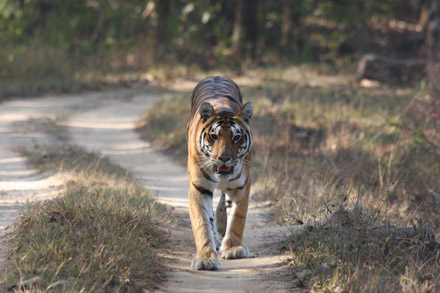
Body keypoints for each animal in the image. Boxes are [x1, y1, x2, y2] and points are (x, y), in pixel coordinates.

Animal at [186, 74, 254, 270]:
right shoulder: (199, 187)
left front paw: (233, 248)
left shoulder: (242, 185)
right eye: (214, 136)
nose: (224, 158)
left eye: (237, 137)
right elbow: (202, 223)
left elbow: (238, 217)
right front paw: (205, 258)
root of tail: (216, 75)